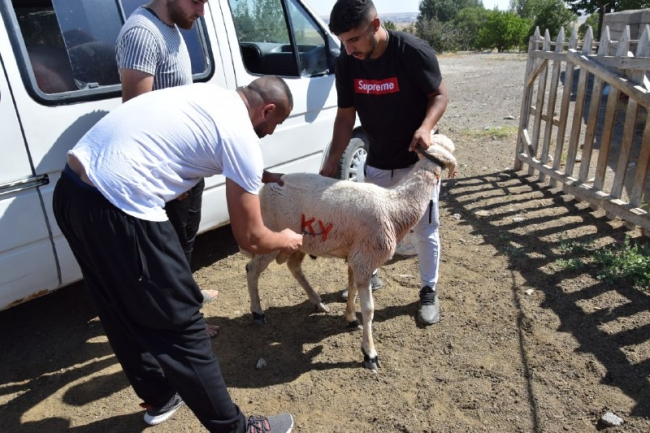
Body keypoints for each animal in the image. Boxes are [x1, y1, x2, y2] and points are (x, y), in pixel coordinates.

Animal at [243, 133, 456, 370]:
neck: (394, 206)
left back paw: (318, 301)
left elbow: (352, 289)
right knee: (252, 269)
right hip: (271, 234)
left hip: (300, 241)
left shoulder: (357, 257)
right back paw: (258, 312)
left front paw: (351, 318)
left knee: (293, 266)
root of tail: (266, 187)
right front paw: (369, 353)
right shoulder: (365, 259)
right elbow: (369, 310)